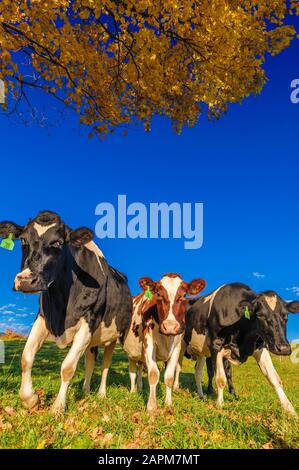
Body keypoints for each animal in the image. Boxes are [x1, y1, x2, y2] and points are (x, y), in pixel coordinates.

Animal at [0, 211, 132, 414]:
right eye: (23, 240)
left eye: (58, 243)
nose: (26, 280)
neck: (61, 305)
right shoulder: (43, 317)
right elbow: (26, 357)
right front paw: (30, 398)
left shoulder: (90, 320)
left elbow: (68, 367)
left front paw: (58, 407)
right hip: (92, 341)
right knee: (90, 361)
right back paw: (85, 391)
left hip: (113, 335)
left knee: (105, 364)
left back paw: (101, 394)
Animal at [123, 274, 206, 414]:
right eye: (158, 294)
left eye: (183, 295)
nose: (170, 327)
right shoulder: (149, 344)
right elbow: (153, 374)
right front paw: (151, 407)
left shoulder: (177, 348)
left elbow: (169, 377)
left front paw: (168, 404)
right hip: (132, 353)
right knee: (132, 372)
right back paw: (133, 391)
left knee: (139, 369)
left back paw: (140, 387)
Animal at [177, 282, 298, 414]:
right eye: (260, 315)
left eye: (285, 316)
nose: (284, 348)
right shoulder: (216, 345)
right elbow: (220, 378)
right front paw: (220, 404)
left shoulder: (260, 347)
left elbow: (274, 378)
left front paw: (290, 409)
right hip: (181, 344)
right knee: (178, 367)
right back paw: (175, 388)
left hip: (201, 352)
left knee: (197, 372)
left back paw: (201, 395)